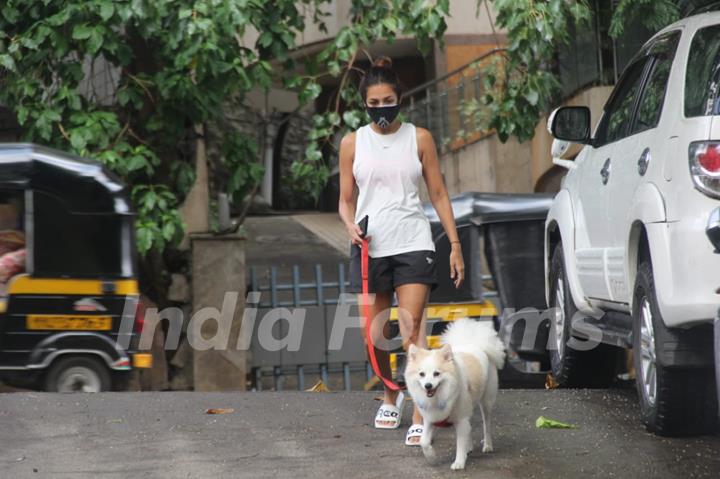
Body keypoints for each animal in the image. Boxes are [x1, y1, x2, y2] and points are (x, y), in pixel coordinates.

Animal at [404, 320, 506, 470]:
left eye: (436, 374)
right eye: (421, 374)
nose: (428, 385)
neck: (439, 396)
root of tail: (474, 343)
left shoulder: (461, 420)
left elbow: (460, 443)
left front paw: (459, 462)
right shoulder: (430, 418)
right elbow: (424, 441)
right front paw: (431, 457)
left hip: (486, 403)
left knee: (486, 425)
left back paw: (487, 445)